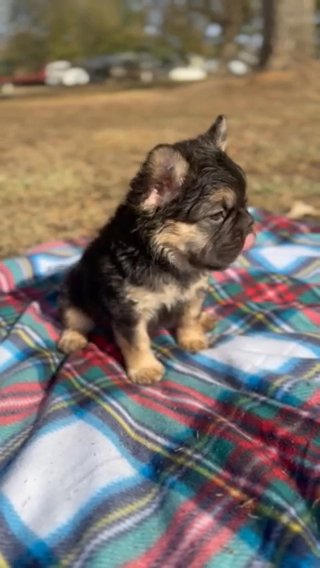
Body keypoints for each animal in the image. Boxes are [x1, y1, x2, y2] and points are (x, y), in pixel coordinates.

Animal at [57, 115, 252, 382]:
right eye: (217, 216)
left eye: (245, 204)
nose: (250, 223)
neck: (168, 259)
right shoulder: (128, 311)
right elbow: (137, 341)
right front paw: (145, 368)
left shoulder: (194, 294)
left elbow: (189, 317)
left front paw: (193, 338)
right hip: (73, 291)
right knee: (75, 318)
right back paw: (72, 338)